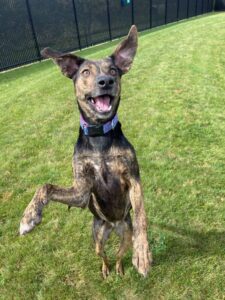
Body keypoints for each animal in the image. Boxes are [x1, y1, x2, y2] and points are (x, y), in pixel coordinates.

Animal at [19, 25, 152, 278]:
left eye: (113, 70)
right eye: (85, 72)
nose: (105, 81)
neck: (99, 136)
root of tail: (112, 225)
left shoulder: (133, 179)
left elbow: (141, 214)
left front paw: (142, 253)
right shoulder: (81, 189)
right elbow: (46, 186)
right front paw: (29, 217)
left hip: (125, 233)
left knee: (119, 253)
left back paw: (120, 267)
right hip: (97, 238)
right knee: (104, 255)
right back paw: (106, 269)